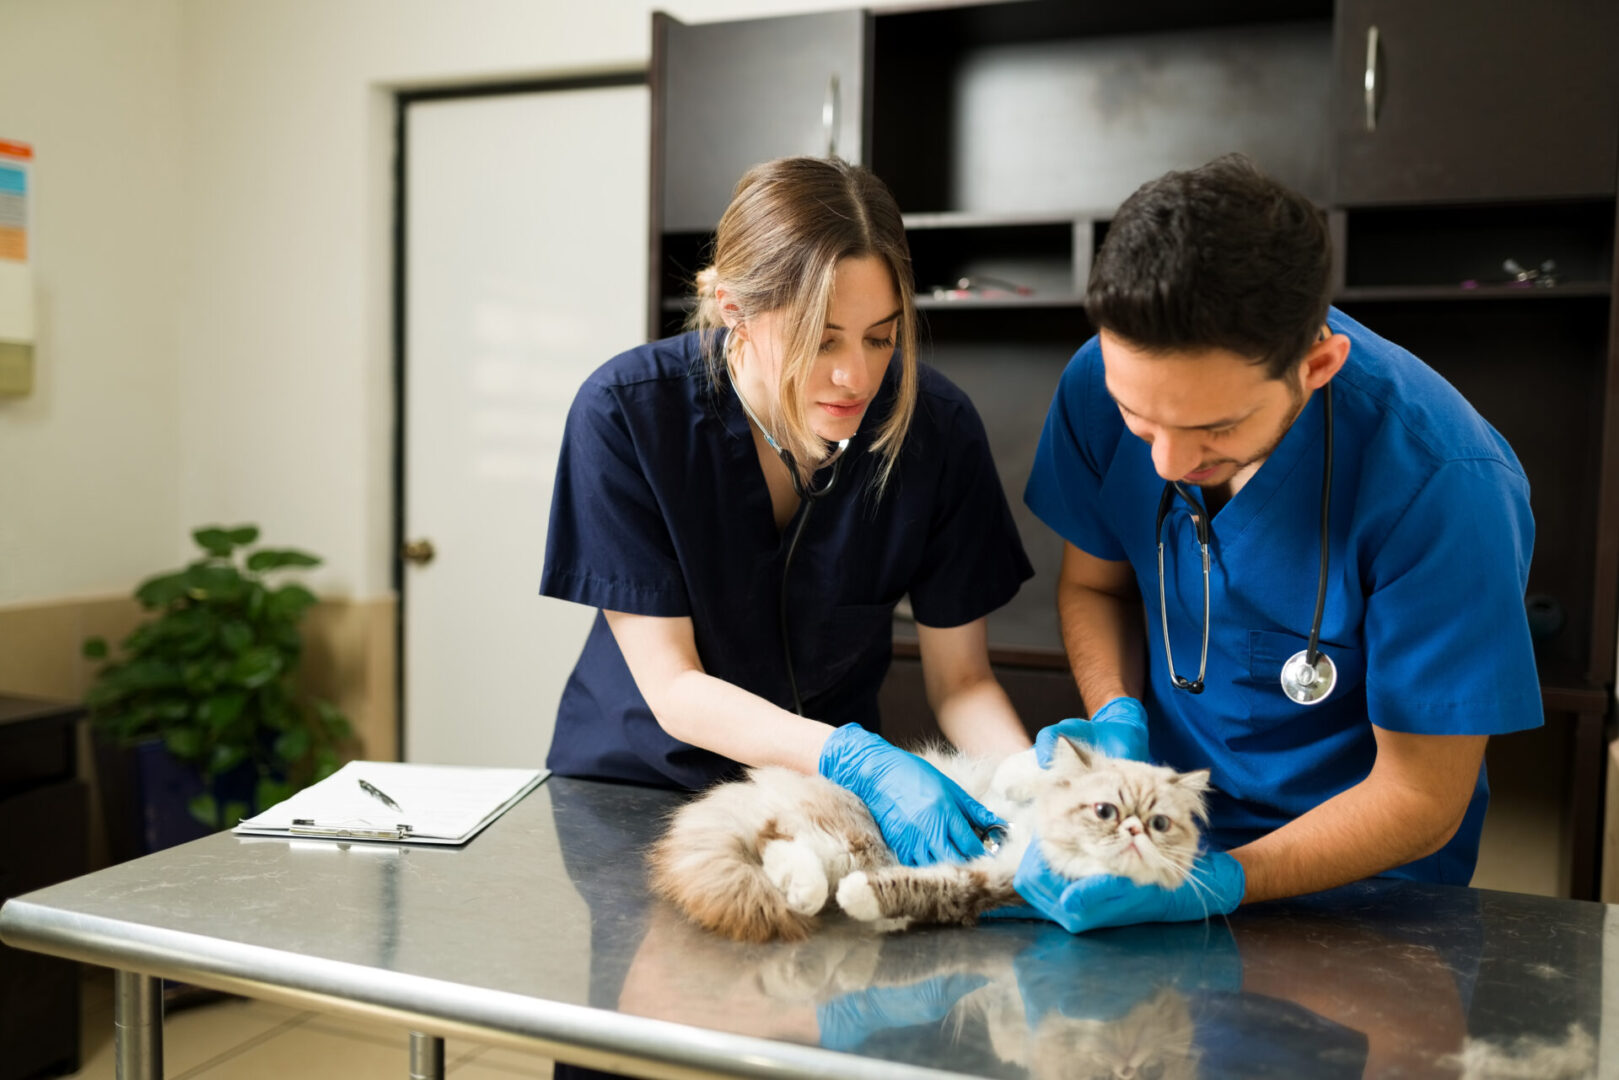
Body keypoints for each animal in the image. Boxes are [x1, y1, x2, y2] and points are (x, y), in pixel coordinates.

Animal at [650, 738, 1211, 939]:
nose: (1132, 830)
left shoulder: (988, 883)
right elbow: (1030, 766)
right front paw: (1028, 774)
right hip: (845, 834)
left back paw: (806, 894)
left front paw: (867, 902)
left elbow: (925, 888)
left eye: (1160, 825)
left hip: (846, 848)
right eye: (1105, 810)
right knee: (775, 835)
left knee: (779, 844)